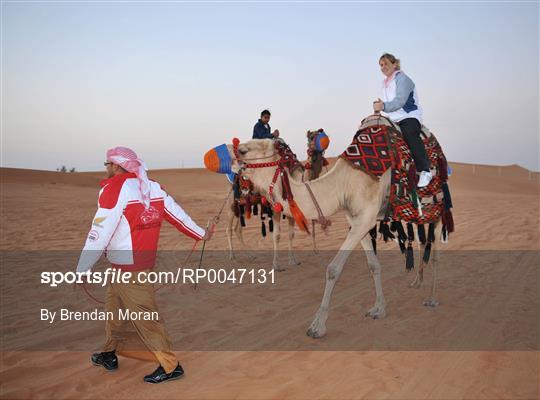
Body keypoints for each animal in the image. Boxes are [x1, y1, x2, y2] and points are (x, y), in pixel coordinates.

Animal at [224, 137, 442, 338]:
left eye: (242, 150)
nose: (229, 163)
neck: (340, 185)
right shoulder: (357, 220)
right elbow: (373, 265)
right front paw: (379, 309)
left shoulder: (365, 218)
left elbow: (333, 269)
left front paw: (317, 326)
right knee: (422, 242)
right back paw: (416, 282)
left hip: (438, 210)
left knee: (435, 252)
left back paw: (432, 298)